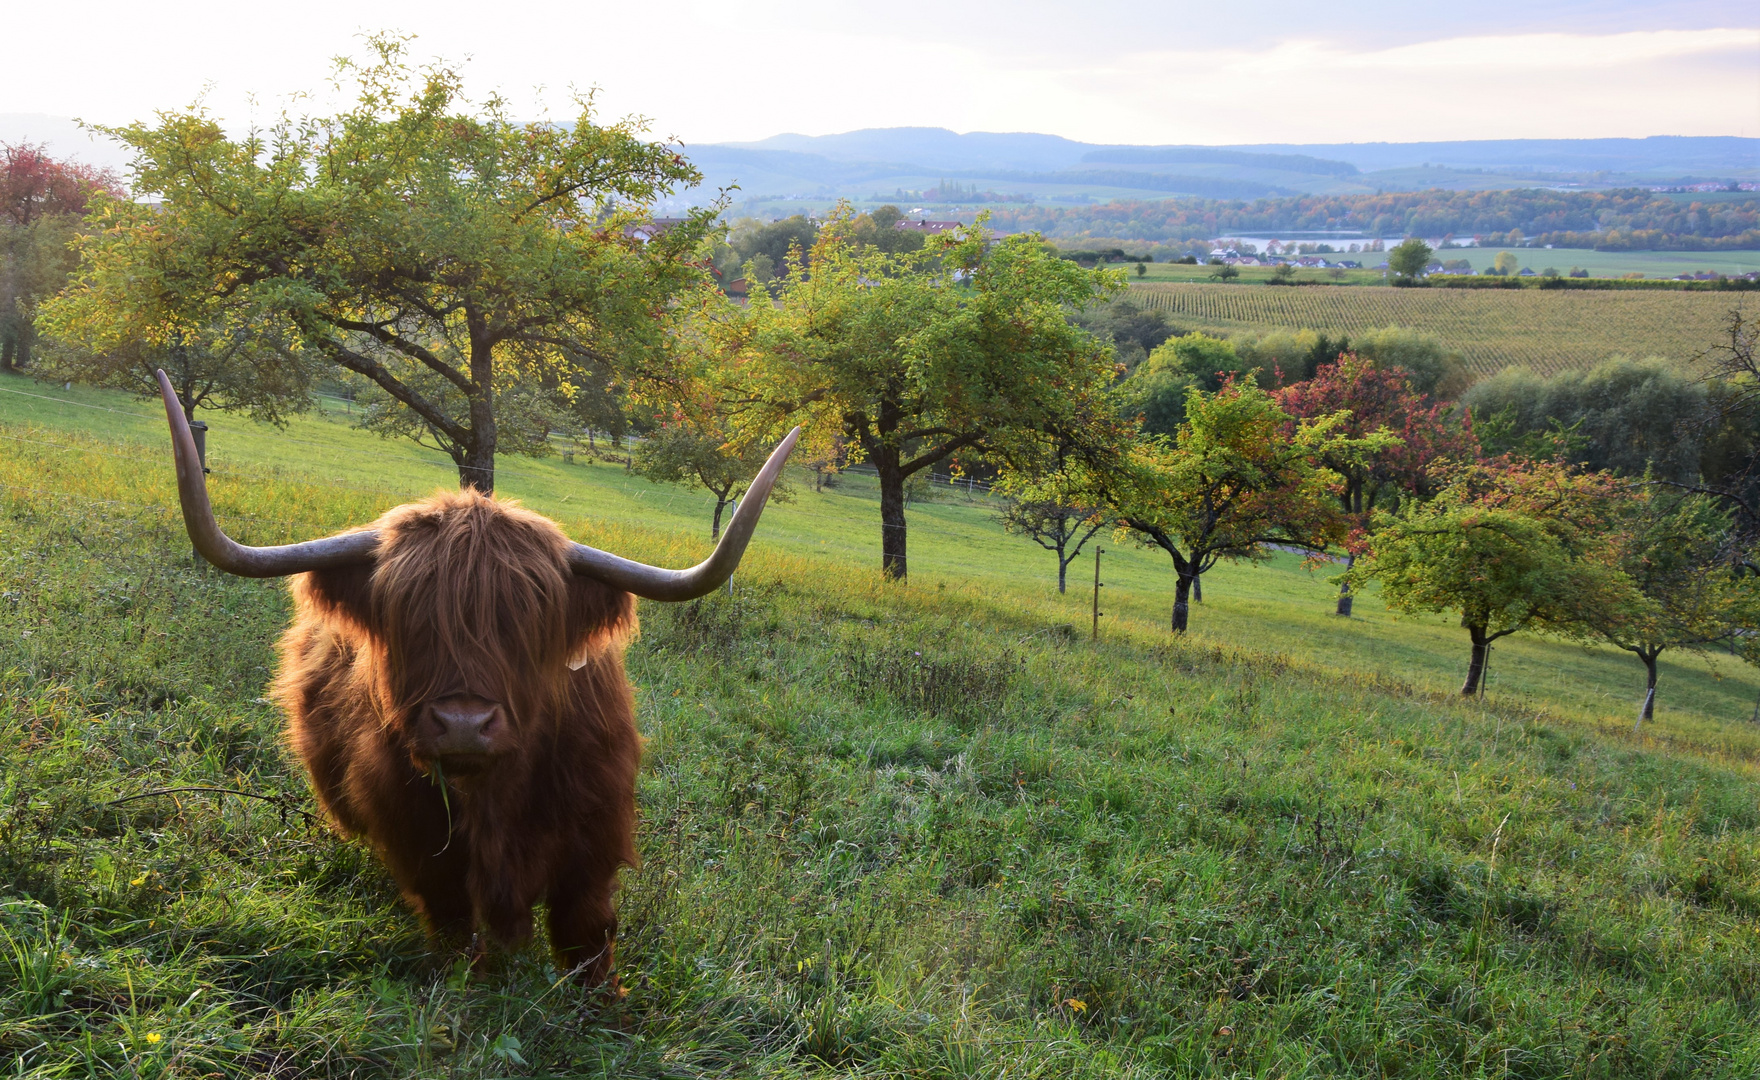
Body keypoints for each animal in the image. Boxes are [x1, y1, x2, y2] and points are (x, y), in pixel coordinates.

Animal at [154, 374, 802, 992]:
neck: (495, 794)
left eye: (529, 621)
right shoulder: (419, 841)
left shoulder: (593, 838)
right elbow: (452, 922)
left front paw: (605, 1009)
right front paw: (472, 988)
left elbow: (587, 929)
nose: (463, 725)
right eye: (408, 617)